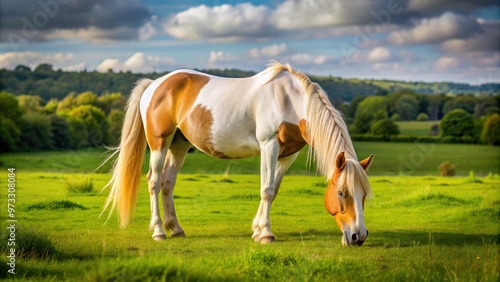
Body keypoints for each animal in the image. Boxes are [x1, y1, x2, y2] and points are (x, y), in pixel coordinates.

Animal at [102, 61, 376, 245]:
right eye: (341, 192)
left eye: (364, 194)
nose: (358, 236)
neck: (290, 100)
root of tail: (154, 85)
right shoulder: (269, 145)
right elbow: (266, 190)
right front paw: (266, 234)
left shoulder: (288, 155)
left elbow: (273, 190)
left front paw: (257, 229)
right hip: (160, 142)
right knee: (154, 181)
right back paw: (159, 231)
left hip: (179, 145)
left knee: (167, 184)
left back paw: (176, 229)